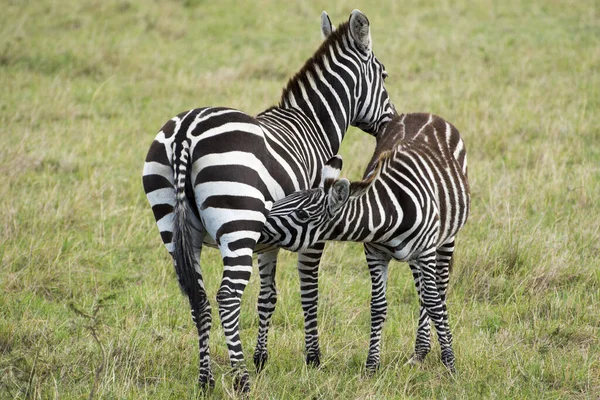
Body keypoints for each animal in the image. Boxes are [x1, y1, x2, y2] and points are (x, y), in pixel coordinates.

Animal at [141, 10, 394, 394]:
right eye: (384, 75)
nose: (393, 123)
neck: (313, 124)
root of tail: (187, 131)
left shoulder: (269, 238)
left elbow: (268, 297)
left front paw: (262, 358)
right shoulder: (313, 228)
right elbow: (309, 292)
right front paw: (312, 359)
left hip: (173, 226)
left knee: (199, 298)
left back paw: (206, 380)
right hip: (238, 224)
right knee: (227, 298)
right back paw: (241, 380)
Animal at [260, 111, 472, 372]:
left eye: (301, 214)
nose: (257, 221)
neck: (389, 211)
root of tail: (424, 114)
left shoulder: (426, 251)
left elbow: (434, 302)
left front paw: (450, 363)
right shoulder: (374, 253)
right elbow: (378, 307)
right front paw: (372, 365)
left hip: (445, 239)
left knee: (438, 290)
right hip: (415, 256)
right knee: (422, 290)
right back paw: (420, 351)